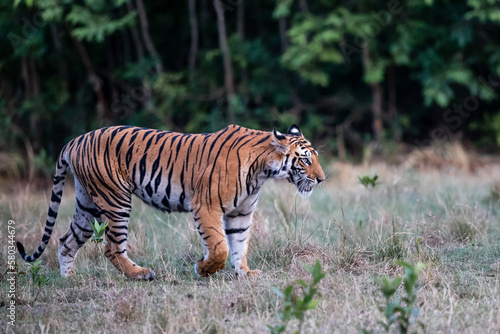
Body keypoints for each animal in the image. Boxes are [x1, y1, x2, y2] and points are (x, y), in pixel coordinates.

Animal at [15, 123, 326, 280]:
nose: (323, 179)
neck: (262, 170)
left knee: (66, 240)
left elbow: (239, 245)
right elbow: (220, 247)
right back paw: (141, 274)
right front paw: (203, 269)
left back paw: (71, 279)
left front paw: (246, 273)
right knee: (112, 248)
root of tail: (75, 140)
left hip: (87, 204)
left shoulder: (240, 213)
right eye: (306, 160)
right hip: (116, 201)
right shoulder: (206, 207)